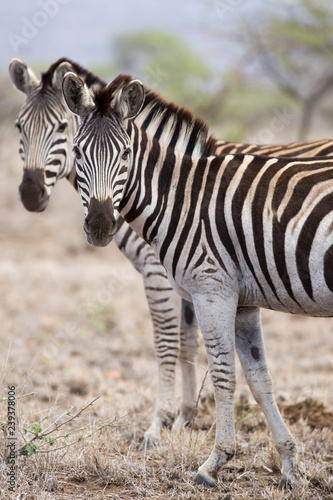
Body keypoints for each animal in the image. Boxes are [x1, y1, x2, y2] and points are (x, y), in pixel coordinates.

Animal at [8, 59, 200, 450]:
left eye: (61, 127)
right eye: (19, 127)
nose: (31, 195)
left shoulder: (159, 272)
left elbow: (168, 341)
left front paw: (159, 425)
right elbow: (188, 341)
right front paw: (185, 419)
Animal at [61, 72, 332, 490]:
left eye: (125, 155)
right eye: (77, 152)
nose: (102, 225)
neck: (183, 199)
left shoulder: (211, 291)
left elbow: (223, 376)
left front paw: (214, 462)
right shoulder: (244, 301)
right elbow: (259, 379)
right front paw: (290, 464)